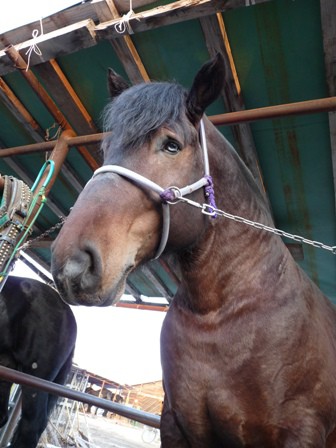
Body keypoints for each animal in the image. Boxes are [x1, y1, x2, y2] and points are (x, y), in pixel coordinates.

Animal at [51, 54, 336, 446]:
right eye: (106, 150)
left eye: (171, 145)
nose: (73, 265)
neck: (220, 314)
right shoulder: (177, 421)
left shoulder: (301, 432)